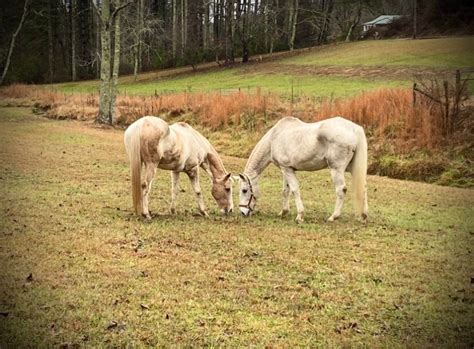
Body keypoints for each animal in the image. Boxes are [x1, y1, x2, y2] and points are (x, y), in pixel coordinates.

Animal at [239, 115, 368, 222]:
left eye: (244, 190)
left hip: (336, 169)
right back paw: (363, 216)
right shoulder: (286, 169)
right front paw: (283, 212)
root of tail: (354, 129)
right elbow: (285, 191)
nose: (243, 212)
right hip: (353, 169)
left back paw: (333, 217)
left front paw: (300, 215)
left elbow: (295, 190)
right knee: (363, 187)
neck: (274, 138)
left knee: (341, 190)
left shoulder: (287, 169)